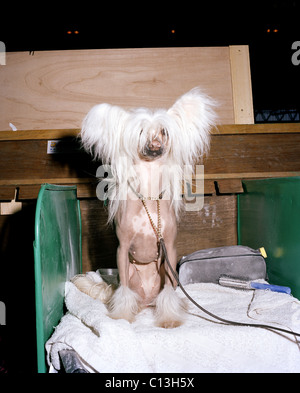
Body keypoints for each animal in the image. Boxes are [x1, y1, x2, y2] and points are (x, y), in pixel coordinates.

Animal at [72, 88, 216, 328]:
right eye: (141, 132)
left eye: (164, 132)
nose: (156, 144)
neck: (148, 198)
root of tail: (148, 301)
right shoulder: (122, 249)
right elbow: (124, 292)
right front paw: (121, 316)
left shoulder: (170, 249)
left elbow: (168, 293)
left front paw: (169, 318)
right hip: (131, 275)